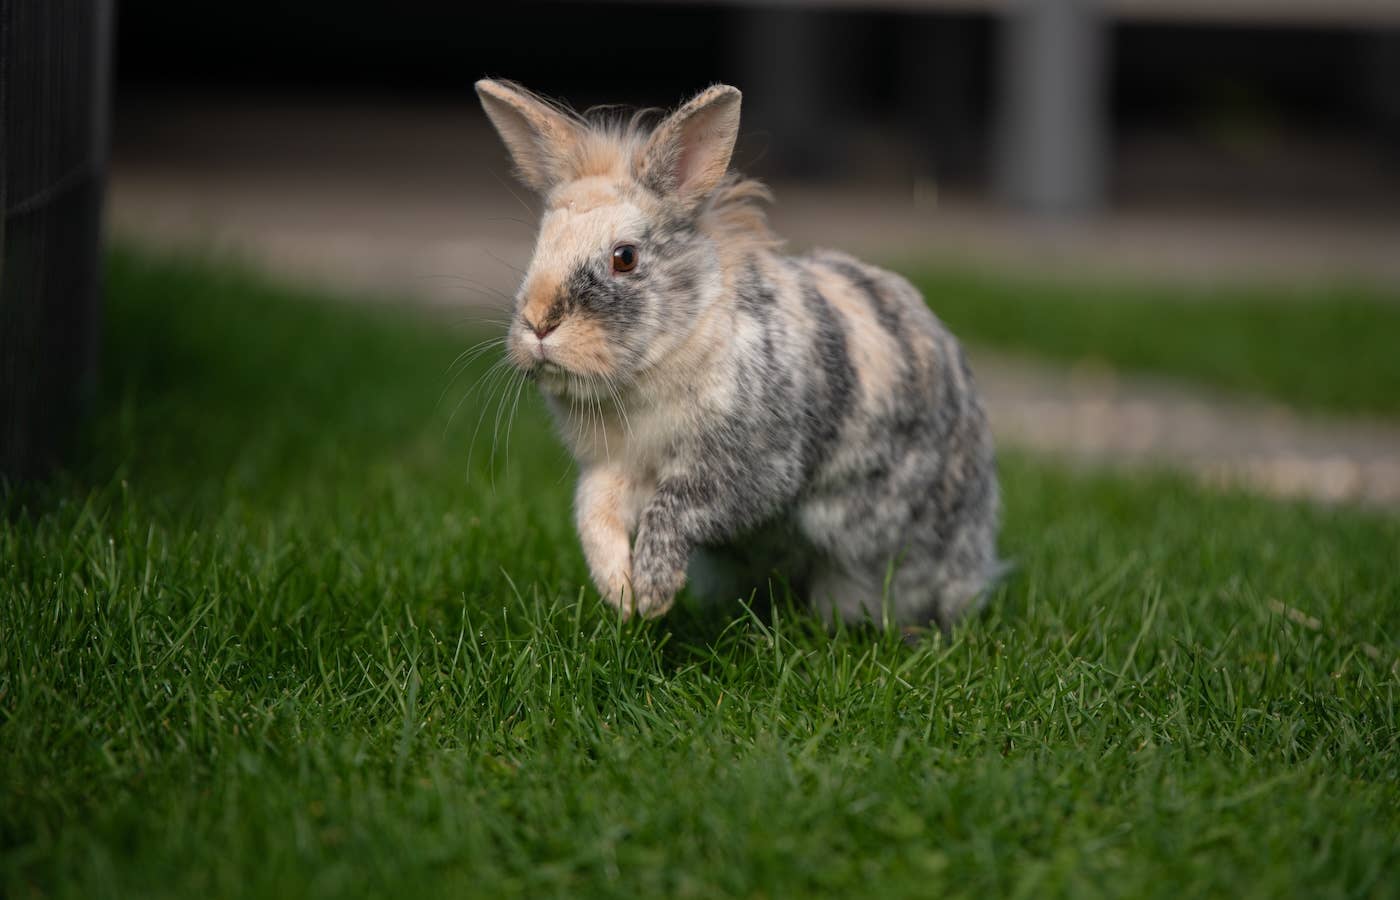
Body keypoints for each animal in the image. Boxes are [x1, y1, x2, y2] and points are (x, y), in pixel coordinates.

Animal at [476, 78, 1001, 628]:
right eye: (540, 245)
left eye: (625, 258)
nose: (538, 324)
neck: (672, 345)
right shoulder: (611, 469)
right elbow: (594, 518)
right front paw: (621, 594)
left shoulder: (743, 469)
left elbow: (674, 510)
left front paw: (654, 592)